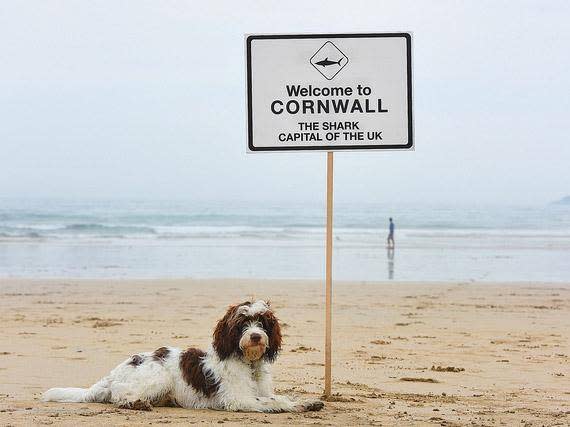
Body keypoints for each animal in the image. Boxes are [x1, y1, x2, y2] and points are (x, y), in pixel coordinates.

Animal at [42, 300, 322, 414]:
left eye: (262, 323)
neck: (248, 363)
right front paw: (295, 406)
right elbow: (273, 401)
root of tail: (114, 372)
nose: (255, 336)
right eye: (242, 324)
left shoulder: (259, 391)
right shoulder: (238, 399)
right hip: (157, 378)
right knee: (119, 396)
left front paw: (306, 402)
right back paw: (137, 403)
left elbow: (276, 397)